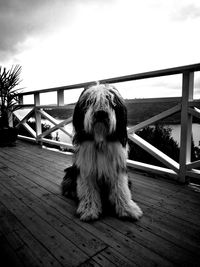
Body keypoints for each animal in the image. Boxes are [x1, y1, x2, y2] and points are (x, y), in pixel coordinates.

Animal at [61, 84, 142, 222]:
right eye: (90, 101)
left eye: (110, 101)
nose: (101, 113)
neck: (100, 140)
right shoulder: (86, 169)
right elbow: (88, 189)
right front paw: (89, 209)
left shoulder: (117, 168)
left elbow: (121, 188)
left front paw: (127, 209)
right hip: (72, 171)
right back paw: (70, 191)